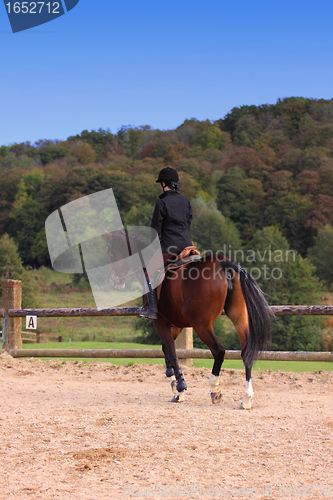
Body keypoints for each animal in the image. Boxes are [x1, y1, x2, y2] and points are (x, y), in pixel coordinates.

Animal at [104, 229, 272, 408]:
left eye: (111, 254)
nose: (114, 282)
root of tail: (222, 263)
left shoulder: (159, 322)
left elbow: (171, 351)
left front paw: (179, 388)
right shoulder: (177, 324)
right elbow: (166, 349)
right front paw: (173, 380)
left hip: (201, 325)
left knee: (219, 351)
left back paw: (214, 389)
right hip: (238, 316)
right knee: (246, 353)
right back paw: (246, 398)